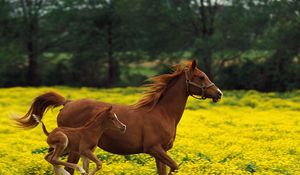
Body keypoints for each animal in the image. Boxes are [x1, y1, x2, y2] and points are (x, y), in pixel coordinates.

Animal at [15, 59, 221, 174]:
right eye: (201, 77)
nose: (218, 94)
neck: (162, 113)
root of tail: (68, 103)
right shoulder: (155, 149)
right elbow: (175, 167)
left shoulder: (161, 152)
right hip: (74, 150)